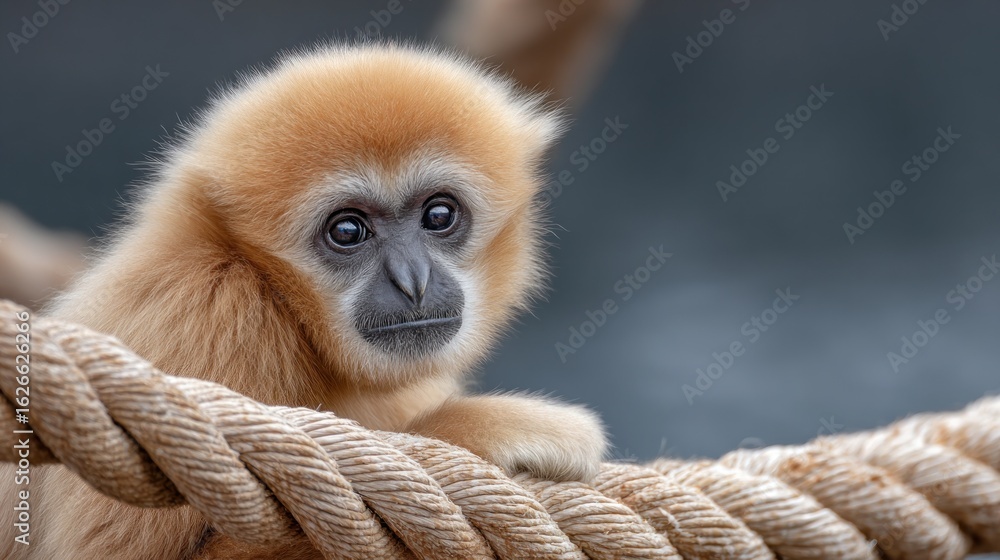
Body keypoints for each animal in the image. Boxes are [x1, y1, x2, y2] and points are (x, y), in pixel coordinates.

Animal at [0, 43, 608, 558]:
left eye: (439, 215)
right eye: (348, 231)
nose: (412, 280)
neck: (279, 302)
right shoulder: (202, 316)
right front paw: (487, 428)